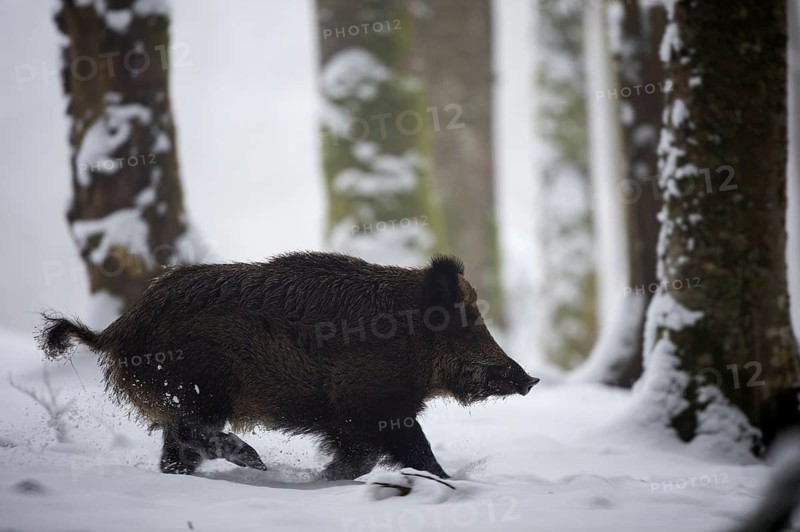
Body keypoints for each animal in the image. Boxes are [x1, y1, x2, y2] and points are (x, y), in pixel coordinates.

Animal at [37, 252, 539, 480]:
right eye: (468, 327)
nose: (530, 378)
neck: (409, 340)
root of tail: (120, 329)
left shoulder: (348, 423)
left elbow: (358, 459)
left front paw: (323, 479)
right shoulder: (373, 406)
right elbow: (417, 449)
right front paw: (448, 482)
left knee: (175, 445)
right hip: (203, 387)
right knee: (190, 430)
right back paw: (254, 462)